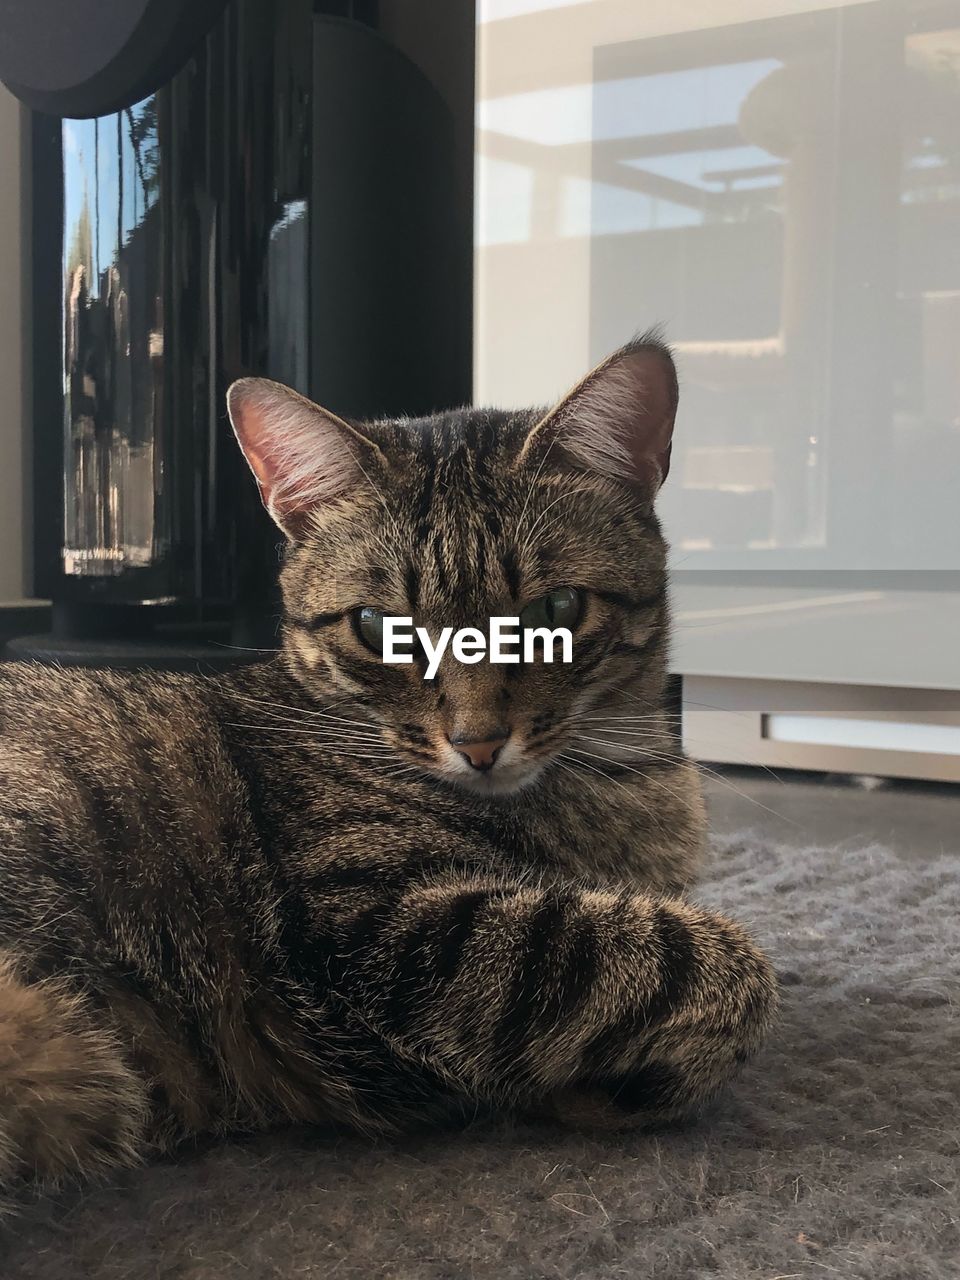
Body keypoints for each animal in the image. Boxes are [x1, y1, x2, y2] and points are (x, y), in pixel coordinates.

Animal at [0, 332, 778, 1187]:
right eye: (380, 626)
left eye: (556, 610)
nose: (478, 743)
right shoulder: (379, 930)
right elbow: (720, 962)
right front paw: (633, 1086)